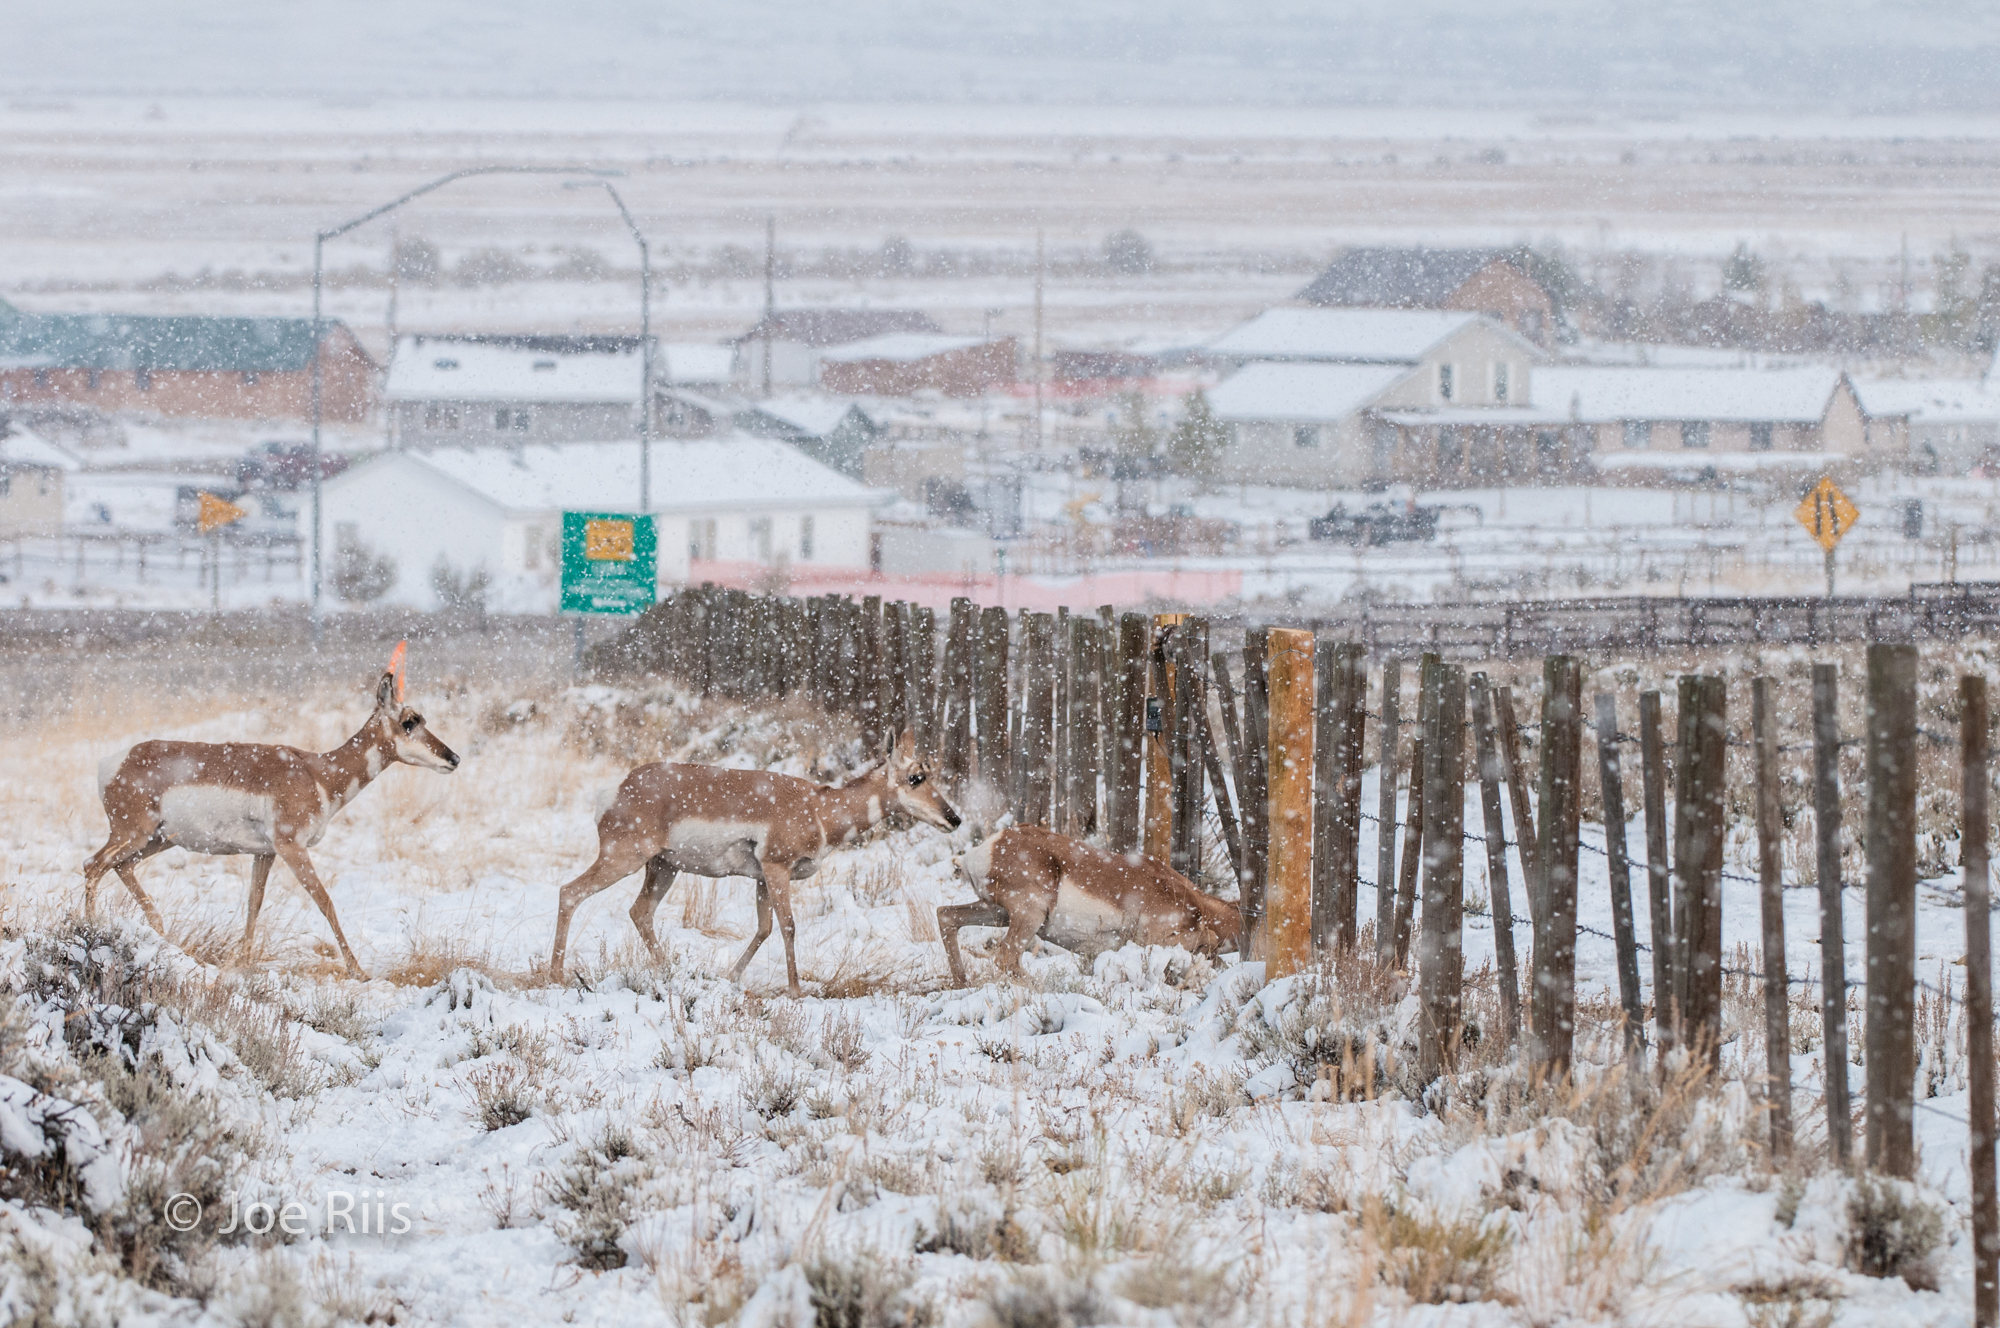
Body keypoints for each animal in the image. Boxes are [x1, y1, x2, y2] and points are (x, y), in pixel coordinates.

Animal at [80, 644, 458, 976]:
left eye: (422, 719)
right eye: (409, 722)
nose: (453, 758)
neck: (317, 772)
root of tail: (114, 761)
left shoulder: (265, 853)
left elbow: (254, 903)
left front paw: (241, 963)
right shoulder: (292, 848)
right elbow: (325, 901)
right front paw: (359, 972)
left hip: (158, 840)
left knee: (118, 866)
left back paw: (161, 937)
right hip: (134, 834)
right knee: (93, 864)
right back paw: (91, 928)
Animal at [544, 732, 956, 992]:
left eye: (931, 773)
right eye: (915, 777)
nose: (954, 819)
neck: (818, 807)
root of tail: (618, 788)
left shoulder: (761, 879)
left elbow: (764, 928)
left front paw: (731, 977)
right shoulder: (776, 868)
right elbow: (788, 926)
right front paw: (795, 990)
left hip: (663, 868)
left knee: (640, 911)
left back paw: (667, 972)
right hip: (624, 859)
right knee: (569, 892)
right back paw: (557, 975)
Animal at [936, 832, 1232, 984]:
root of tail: (985, 849)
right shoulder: (1154, 938)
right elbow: (1210, 940)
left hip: (996, 913)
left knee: (946, 915)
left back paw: (962, 982)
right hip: (1028, 916)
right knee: (1006, 957)